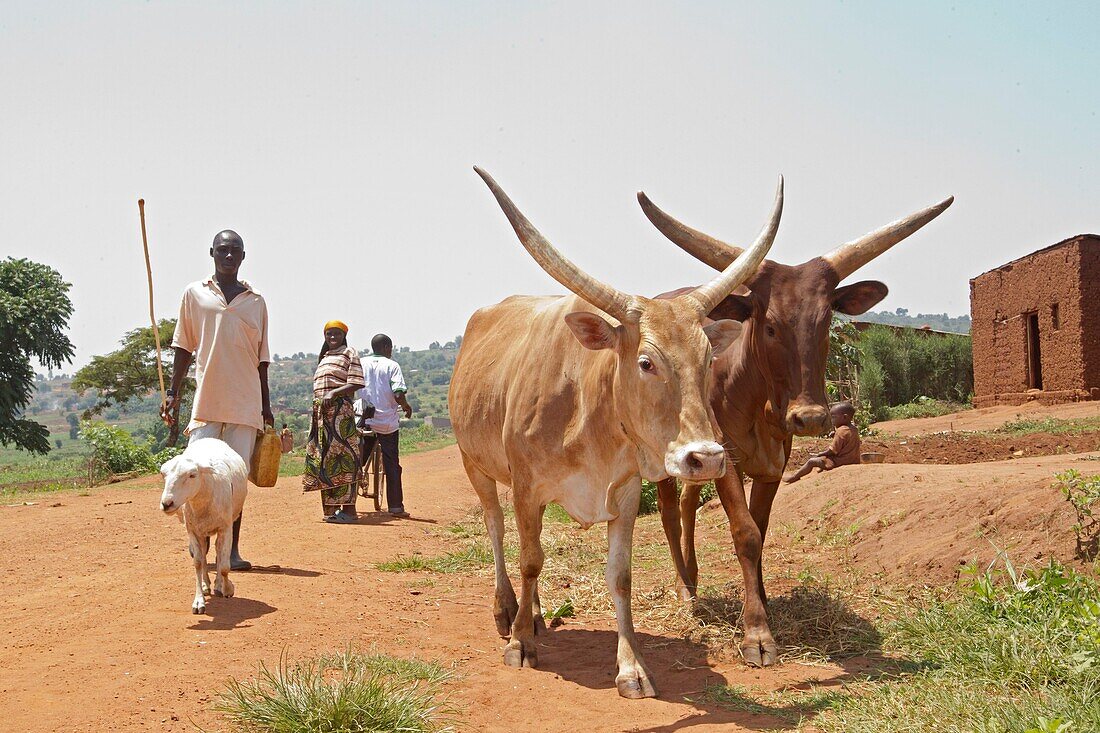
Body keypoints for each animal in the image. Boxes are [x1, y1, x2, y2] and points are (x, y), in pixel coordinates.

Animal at [158, 435, 248, 611]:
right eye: (164, 475)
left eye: (192, 475)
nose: (167, 504)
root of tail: (210, 438)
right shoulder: (193, 531)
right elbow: (198, 563)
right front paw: (199, 600)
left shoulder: (225, 528)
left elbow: (225, 566)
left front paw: (228, 588)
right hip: (202, 532)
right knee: (205, 555)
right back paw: (207, 585)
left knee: (219, 552)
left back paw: (219, 585)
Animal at [448, 167, 783, 695]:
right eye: (646, 362)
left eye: (710, 357)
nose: (707, 458)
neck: (590, 416)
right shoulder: (526, 487)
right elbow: (530, 559)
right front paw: (521, 644)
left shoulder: (624, 493)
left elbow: (619, 576)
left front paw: (631, 666)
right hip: (474, 462)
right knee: (497, 528)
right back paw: (509, 610)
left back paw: (534, 613)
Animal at [638, 187, 954, 660]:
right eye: (769, 325)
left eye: (826, 321)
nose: (810, 417)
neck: (758, 404)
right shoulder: (726, 460)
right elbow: (745, 533)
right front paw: (757, 633)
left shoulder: (773, 465)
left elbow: (761, 530)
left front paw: (762, 602)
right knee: (670, 513)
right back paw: (685, 589)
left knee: (689, 502)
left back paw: (692, 577)